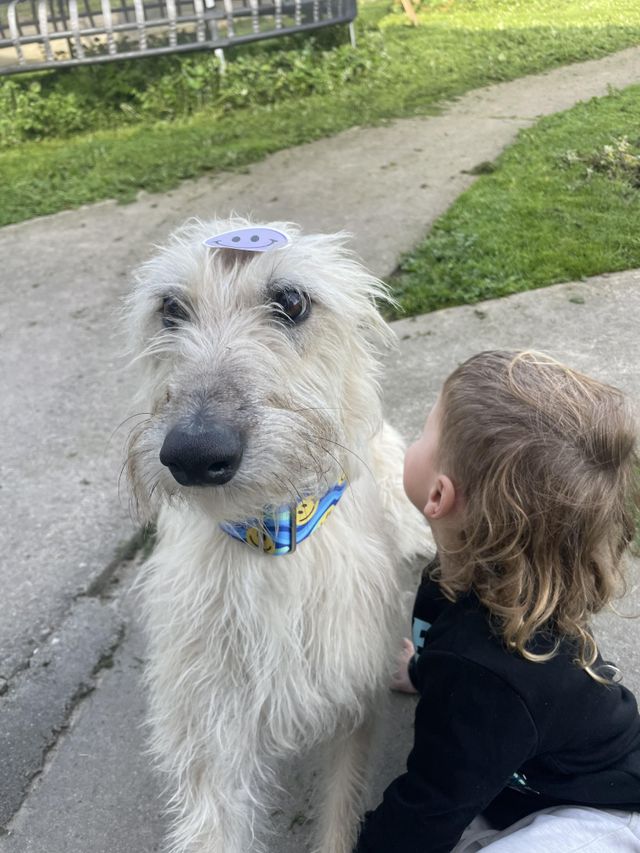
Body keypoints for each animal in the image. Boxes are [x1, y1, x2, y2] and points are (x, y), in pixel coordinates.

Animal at [124, 220, 428, 852]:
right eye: (169, 308)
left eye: (291, 301)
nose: (194, 454)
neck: (270, 544)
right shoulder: (209, 726)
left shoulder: (349, 697)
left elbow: (340, 810)